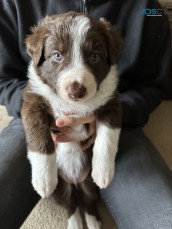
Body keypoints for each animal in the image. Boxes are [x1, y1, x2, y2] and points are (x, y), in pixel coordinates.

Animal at [21, 12, 121, 229]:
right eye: (57, 55)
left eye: (94, 56)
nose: (76, 90)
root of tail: (75, 181)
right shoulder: (33, 100)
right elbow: (39, 138)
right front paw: (42, 179)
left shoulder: (112, 103)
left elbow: (107, 140)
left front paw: (103, 171)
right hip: (61, 189)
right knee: (70, 205)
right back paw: (75, 222)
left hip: (88, 185)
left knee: (87, 201)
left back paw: (92, 221)